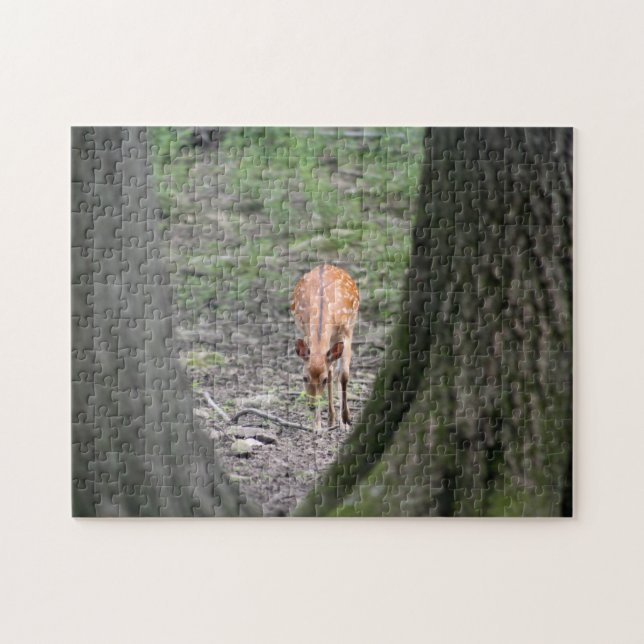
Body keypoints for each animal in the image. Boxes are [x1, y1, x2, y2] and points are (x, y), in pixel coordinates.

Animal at [290, 264, 360, 432]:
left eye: (323, 380)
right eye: (304, 377)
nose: (311, 405)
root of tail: (326, 264)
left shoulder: (347, 331)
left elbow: (344, 375)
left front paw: (346, 420)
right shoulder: (307, 331)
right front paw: (317, 426)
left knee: (335, 370)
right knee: (331, 367)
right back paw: (330, 418)